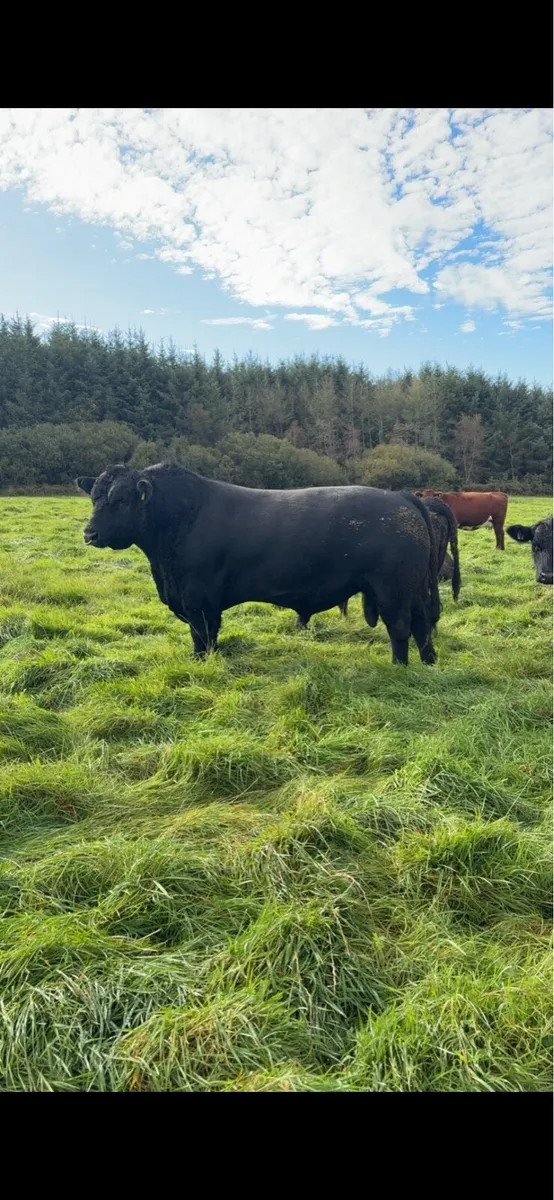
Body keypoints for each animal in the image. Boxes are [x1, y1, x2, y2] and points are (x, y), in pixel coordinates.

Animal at [77, 463, 441, 666]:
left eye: (121, 500)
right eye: (94, 498)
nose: (90, 533)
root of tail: (400, 497)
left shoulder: (198, 599)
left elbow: (202, 636)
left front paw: (201, 664)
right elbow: (208, 636)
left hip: (392, 590)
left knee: (400, 627)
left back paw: (398, 666)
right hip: (413, 590)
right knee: (422, 625)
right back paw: (428, 663)